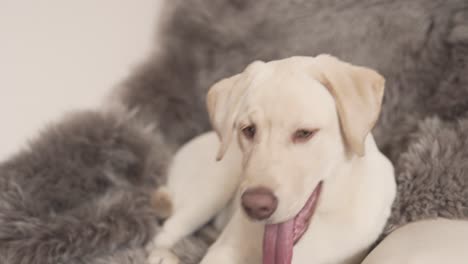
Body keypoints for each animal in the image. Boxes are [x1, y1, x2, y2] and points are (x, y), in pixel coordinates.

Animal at [148, 54, 396, 262]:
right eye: (248, 130)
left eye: (304, 133)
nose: (256, 206)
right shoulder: (223, 251)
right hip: (213, 186)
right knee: (163, 234)